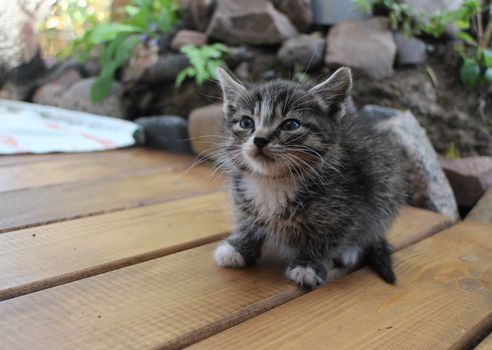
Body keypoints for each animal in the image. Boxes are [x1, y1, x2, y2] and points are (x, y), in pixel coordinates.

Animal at [213, 66, 402, 288]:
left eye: (291, 125)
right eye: (246, 122)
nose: (259, 139)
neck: (273, 180)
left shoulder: (350, 203)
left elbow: (328, 235)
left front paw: (309, 264)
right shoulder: (242, 198)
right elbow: (246, 221)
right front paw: (239, 248)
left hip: (384, 183)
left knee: (370, 228)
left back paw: (349, 251)